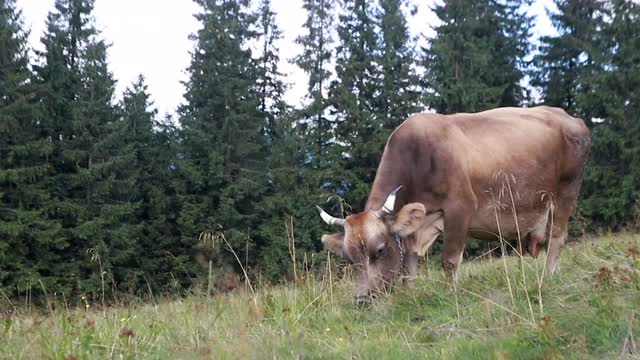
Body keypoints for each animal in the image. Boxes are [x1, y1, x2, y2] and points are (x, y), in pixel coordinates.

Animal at [318, 105, 592, 306]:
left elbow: (449, 260)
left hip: (564, 195)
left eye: (381, 250)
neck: (417, 157)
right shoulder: (417, 228)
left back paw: (548, 276)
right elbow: (409, 265)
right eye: (348, 258)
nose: (362, 300)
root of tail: (568, 117)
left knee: (556, 238)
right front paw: (409, 295)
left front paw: (451, 295)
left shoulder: (460, 209)